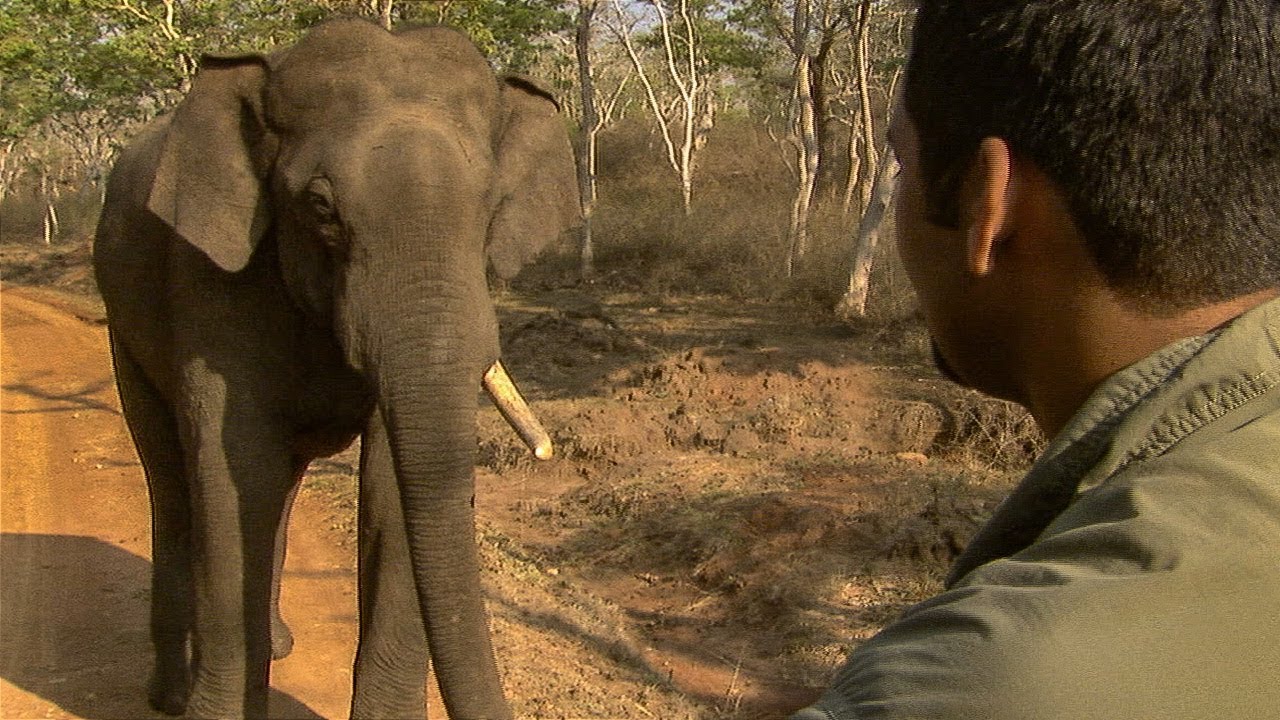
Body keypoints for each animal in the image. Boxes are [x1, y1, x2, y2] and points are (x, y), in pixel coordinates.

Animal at [93, 18, 581, 717]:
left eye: (490, 207)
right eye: (320, 207)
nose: (547, 451)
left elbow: (393, 480)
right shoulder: (208, 279)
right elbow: (232, 465)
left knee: (281, 484)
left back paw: (276, 646)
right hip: (123, 326)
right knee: (171, 477)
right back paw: (169, 694)